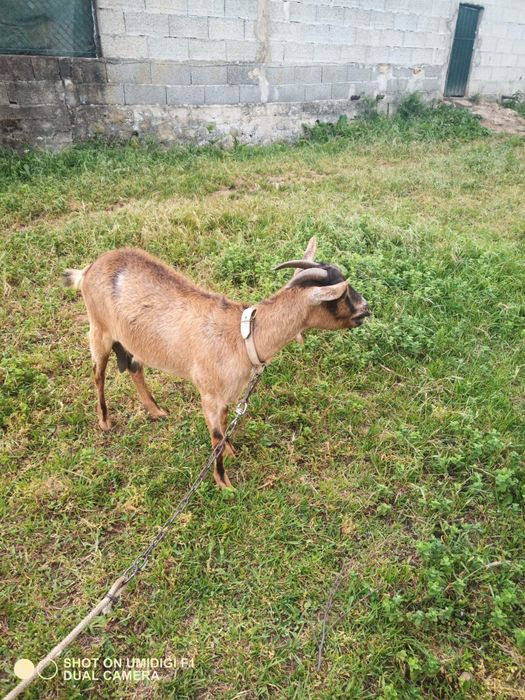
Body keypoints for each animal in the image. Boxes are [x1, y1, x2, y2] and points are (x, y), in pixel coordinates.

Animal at [63, 237, 370, 489]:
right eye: (342, 294)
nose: (366, 308)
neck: (243, 336)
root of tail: (88, 269)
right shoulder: (209, 394)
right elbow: (214, 435)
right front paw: (225, 484)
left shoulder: (227, 394)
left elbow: (223, 427)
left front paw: (232, 450)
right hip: (99, 329)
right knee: (98, 373)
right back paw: (105, 421)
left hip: (131, 339)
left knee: (135, 367)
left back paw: (156, 411)